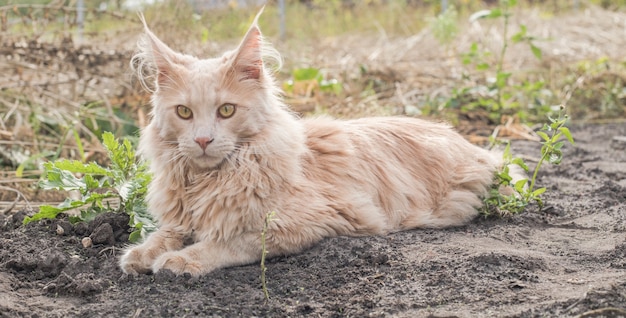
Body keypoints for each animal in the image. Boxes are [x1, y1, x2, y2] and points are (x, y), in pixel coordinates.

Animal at [120, 11, 508, 278]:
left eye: (226, 110)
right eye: (184, 112)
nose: (202, 139)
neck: (207, 182)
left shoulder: (307, 221)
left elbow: (226, 242)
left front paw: (180, 260)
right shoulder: (180, 218)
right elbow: (164, 233)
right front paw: (141, 253)